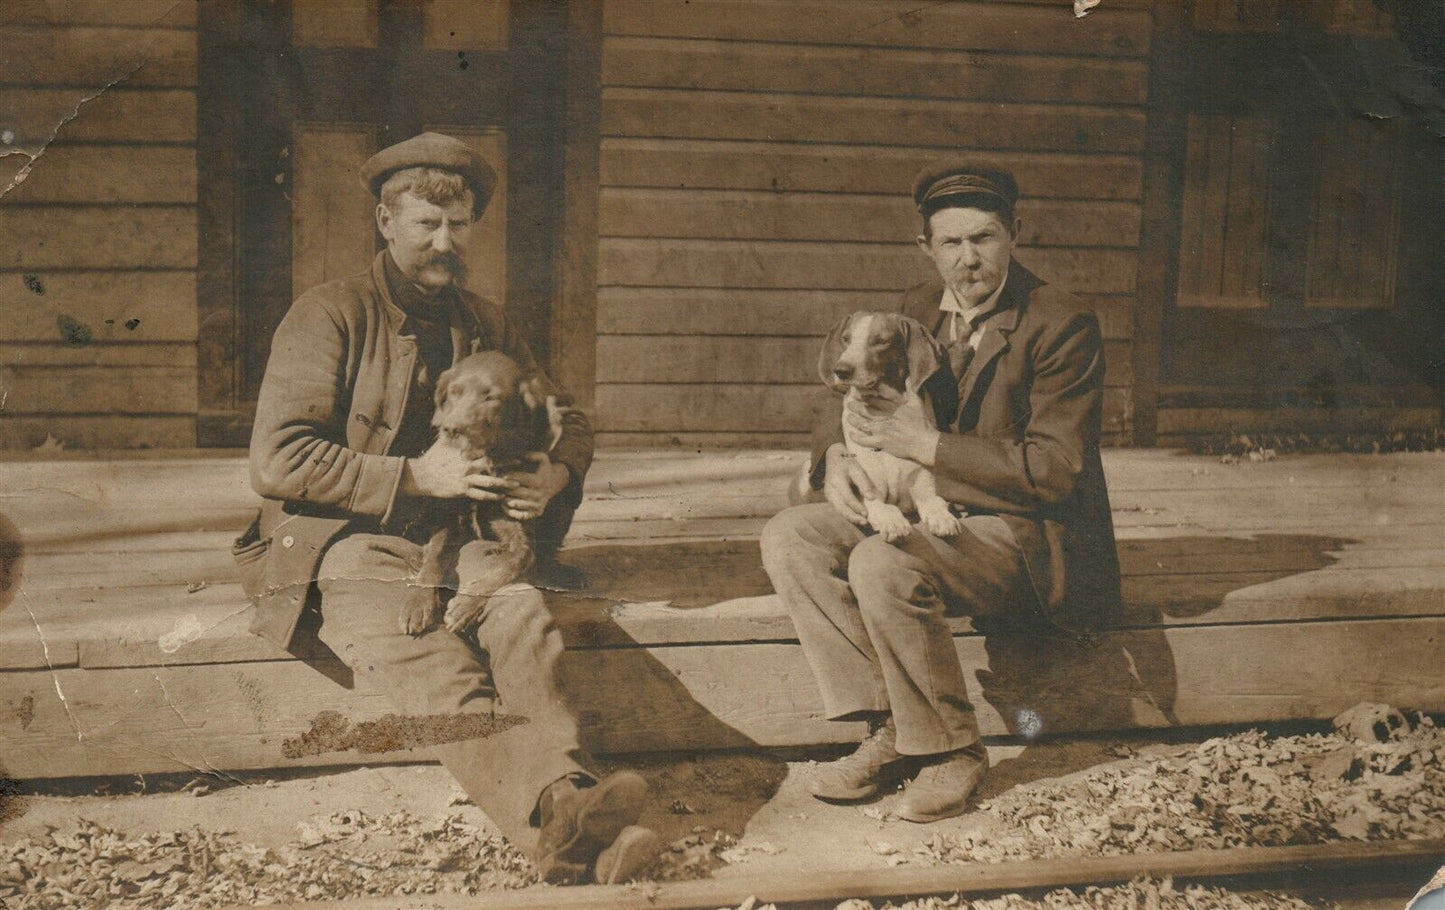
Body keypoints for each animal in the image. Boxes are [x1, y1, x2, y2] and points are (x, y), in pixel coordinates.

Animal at [401, 352, 557, 638]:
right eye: (454, 392)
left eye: (491, 398)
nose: (451, 429)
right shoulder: (448, 519)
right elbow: (434, 556)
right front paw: (417, 602)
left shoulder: (522, 536)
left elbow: (513, 562)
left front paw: (465, 605)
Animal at [820, 310, 965, 546]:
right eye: (846, 339)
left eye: (881, 341)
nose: (841, 370)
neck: (885, 413)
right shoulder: (868, 490)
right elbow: (882, 506)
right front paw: (892, 522)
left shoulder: (924, 485)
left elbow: (935, 502)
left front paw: (943, 518)